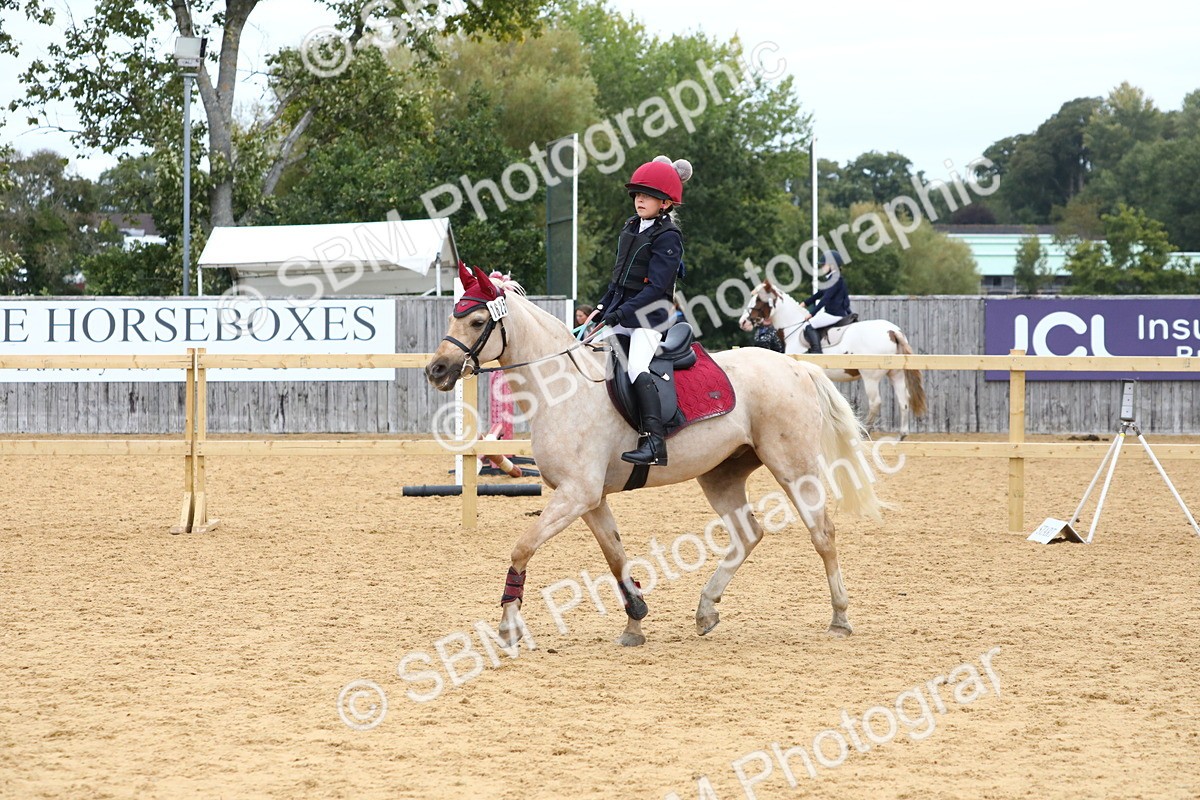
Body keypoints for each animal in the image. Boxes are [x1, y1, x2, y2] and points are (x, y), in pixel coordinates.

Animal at [425, 264, 885, 648]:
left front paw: (508, 626)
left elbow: (522, 548)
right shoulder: (590, 499)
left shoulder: (576, 494)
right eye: (452, 318)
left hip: (793, 468)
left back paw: (840, 620)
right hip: (721, 474)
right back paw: (705, 610)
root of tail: (796, 366)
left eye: (478, 321)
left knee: (822, 533)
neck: (563, 387)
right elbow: (615, 557)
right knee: (747, 534)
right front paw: (635, 621)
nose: (437, 371)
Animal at [738, 280, 927, 437]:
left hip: (870, 377)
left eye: (759, 299)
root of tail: (893, 331)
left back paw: (864, 432)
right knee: (903, 401)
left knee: (876, 403)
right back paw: (901, 436)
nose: (743, 322)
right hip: (896, 374)